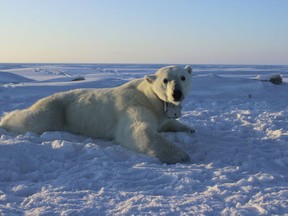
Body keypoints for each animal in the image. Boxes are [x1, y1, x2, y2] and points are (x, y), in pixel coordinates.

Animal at [1, 65, 195, 164]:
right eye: (165, 80)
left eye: (183, 77)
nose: (176, 93)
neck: (148, 96)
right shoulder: (135, 106)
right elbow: (136, 130)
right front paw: (180, 155)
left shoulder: (158, 111)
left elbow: (166, 123)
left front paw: (189, 128)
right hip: (56, 110)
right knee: (32, 120)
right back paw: (5, 120)